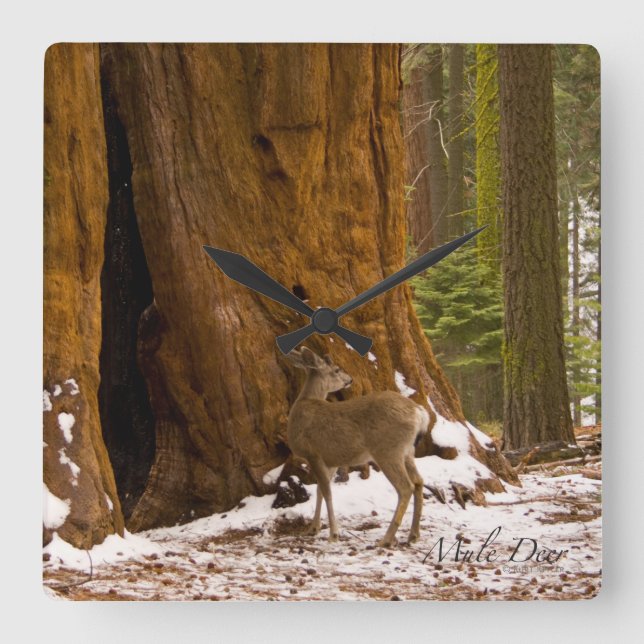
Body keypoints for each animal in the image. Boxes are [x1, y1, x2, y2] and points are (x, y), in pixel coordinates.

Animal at [285, 347, 429, 547]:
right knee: (418, 481)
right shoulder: (330, 459)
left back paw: (386, 539)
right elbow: (320, 490)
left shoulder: (313, 453)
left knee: (405, 487)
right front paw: (313, 528)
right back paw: (413, 535)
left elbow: (327, 492)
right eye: (337, 370)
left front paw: (333, 534)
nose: (350, 379)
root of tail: (419, 412)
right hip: (408, 451)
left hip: (388, 450)